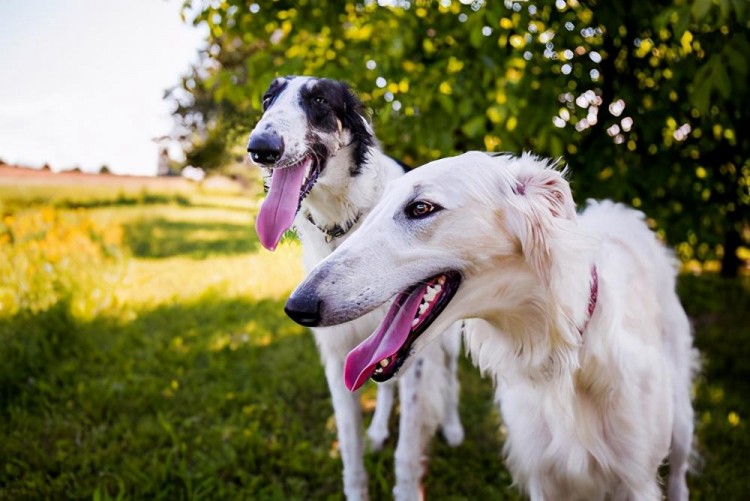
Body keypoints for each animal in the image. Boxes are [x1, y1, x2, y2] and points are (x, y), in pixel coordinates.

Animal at [247, 76, 464, 498]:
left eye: (318, 100)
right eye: (268, 100)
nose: (260, 148)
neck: (344, 222)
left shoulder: (413, 345)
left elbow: (407, 450)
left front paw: (407, 488)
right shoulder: (336, 355)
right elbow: (350, 447)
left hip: (445, 336)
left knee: (450, 379)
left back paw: (452, 426)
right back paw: (379, 429)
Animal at [288, 150, 700, 498]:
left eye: (421, 207)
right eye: (373, 213)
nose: (296, 307)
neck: (561, 358)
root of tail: (621, 211)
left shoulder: (635, 478)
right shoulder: (542, 473)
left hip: (680, 421)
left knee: (679, 472)